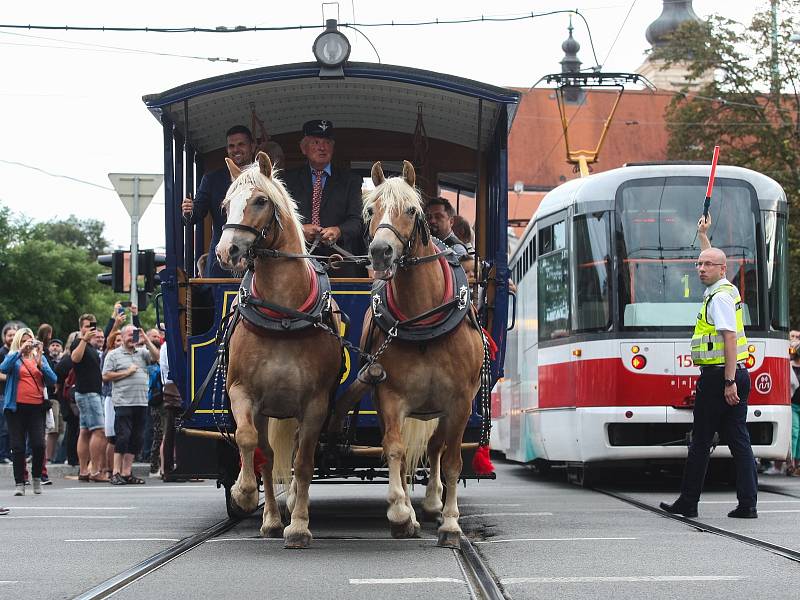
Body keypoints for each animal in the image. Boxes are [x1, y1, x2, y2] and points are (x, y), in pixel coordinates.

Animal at [214, 151, 342, 548]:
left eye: (260, 201)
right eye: (225, 204)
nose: (227, 251)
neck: (282, 315)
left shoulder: (315, 404)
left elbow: (303, 463)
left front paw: (299, 525)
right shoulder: (242, 393)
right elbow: (248, 441)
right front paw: (243, 493)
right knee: (267, 456)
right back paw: (270, 518)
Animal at [336, 161, 482, 548]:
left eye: (412, 210)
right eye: (370, 210)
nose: (381, 252)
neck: (422, 319)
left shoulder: (460, 402)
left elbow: (451, 461)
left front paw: (451, 523)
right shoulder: (389, 396)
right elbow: (395, 451)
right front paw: (401, 513)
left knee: (436, 448)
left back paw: (433, 504)